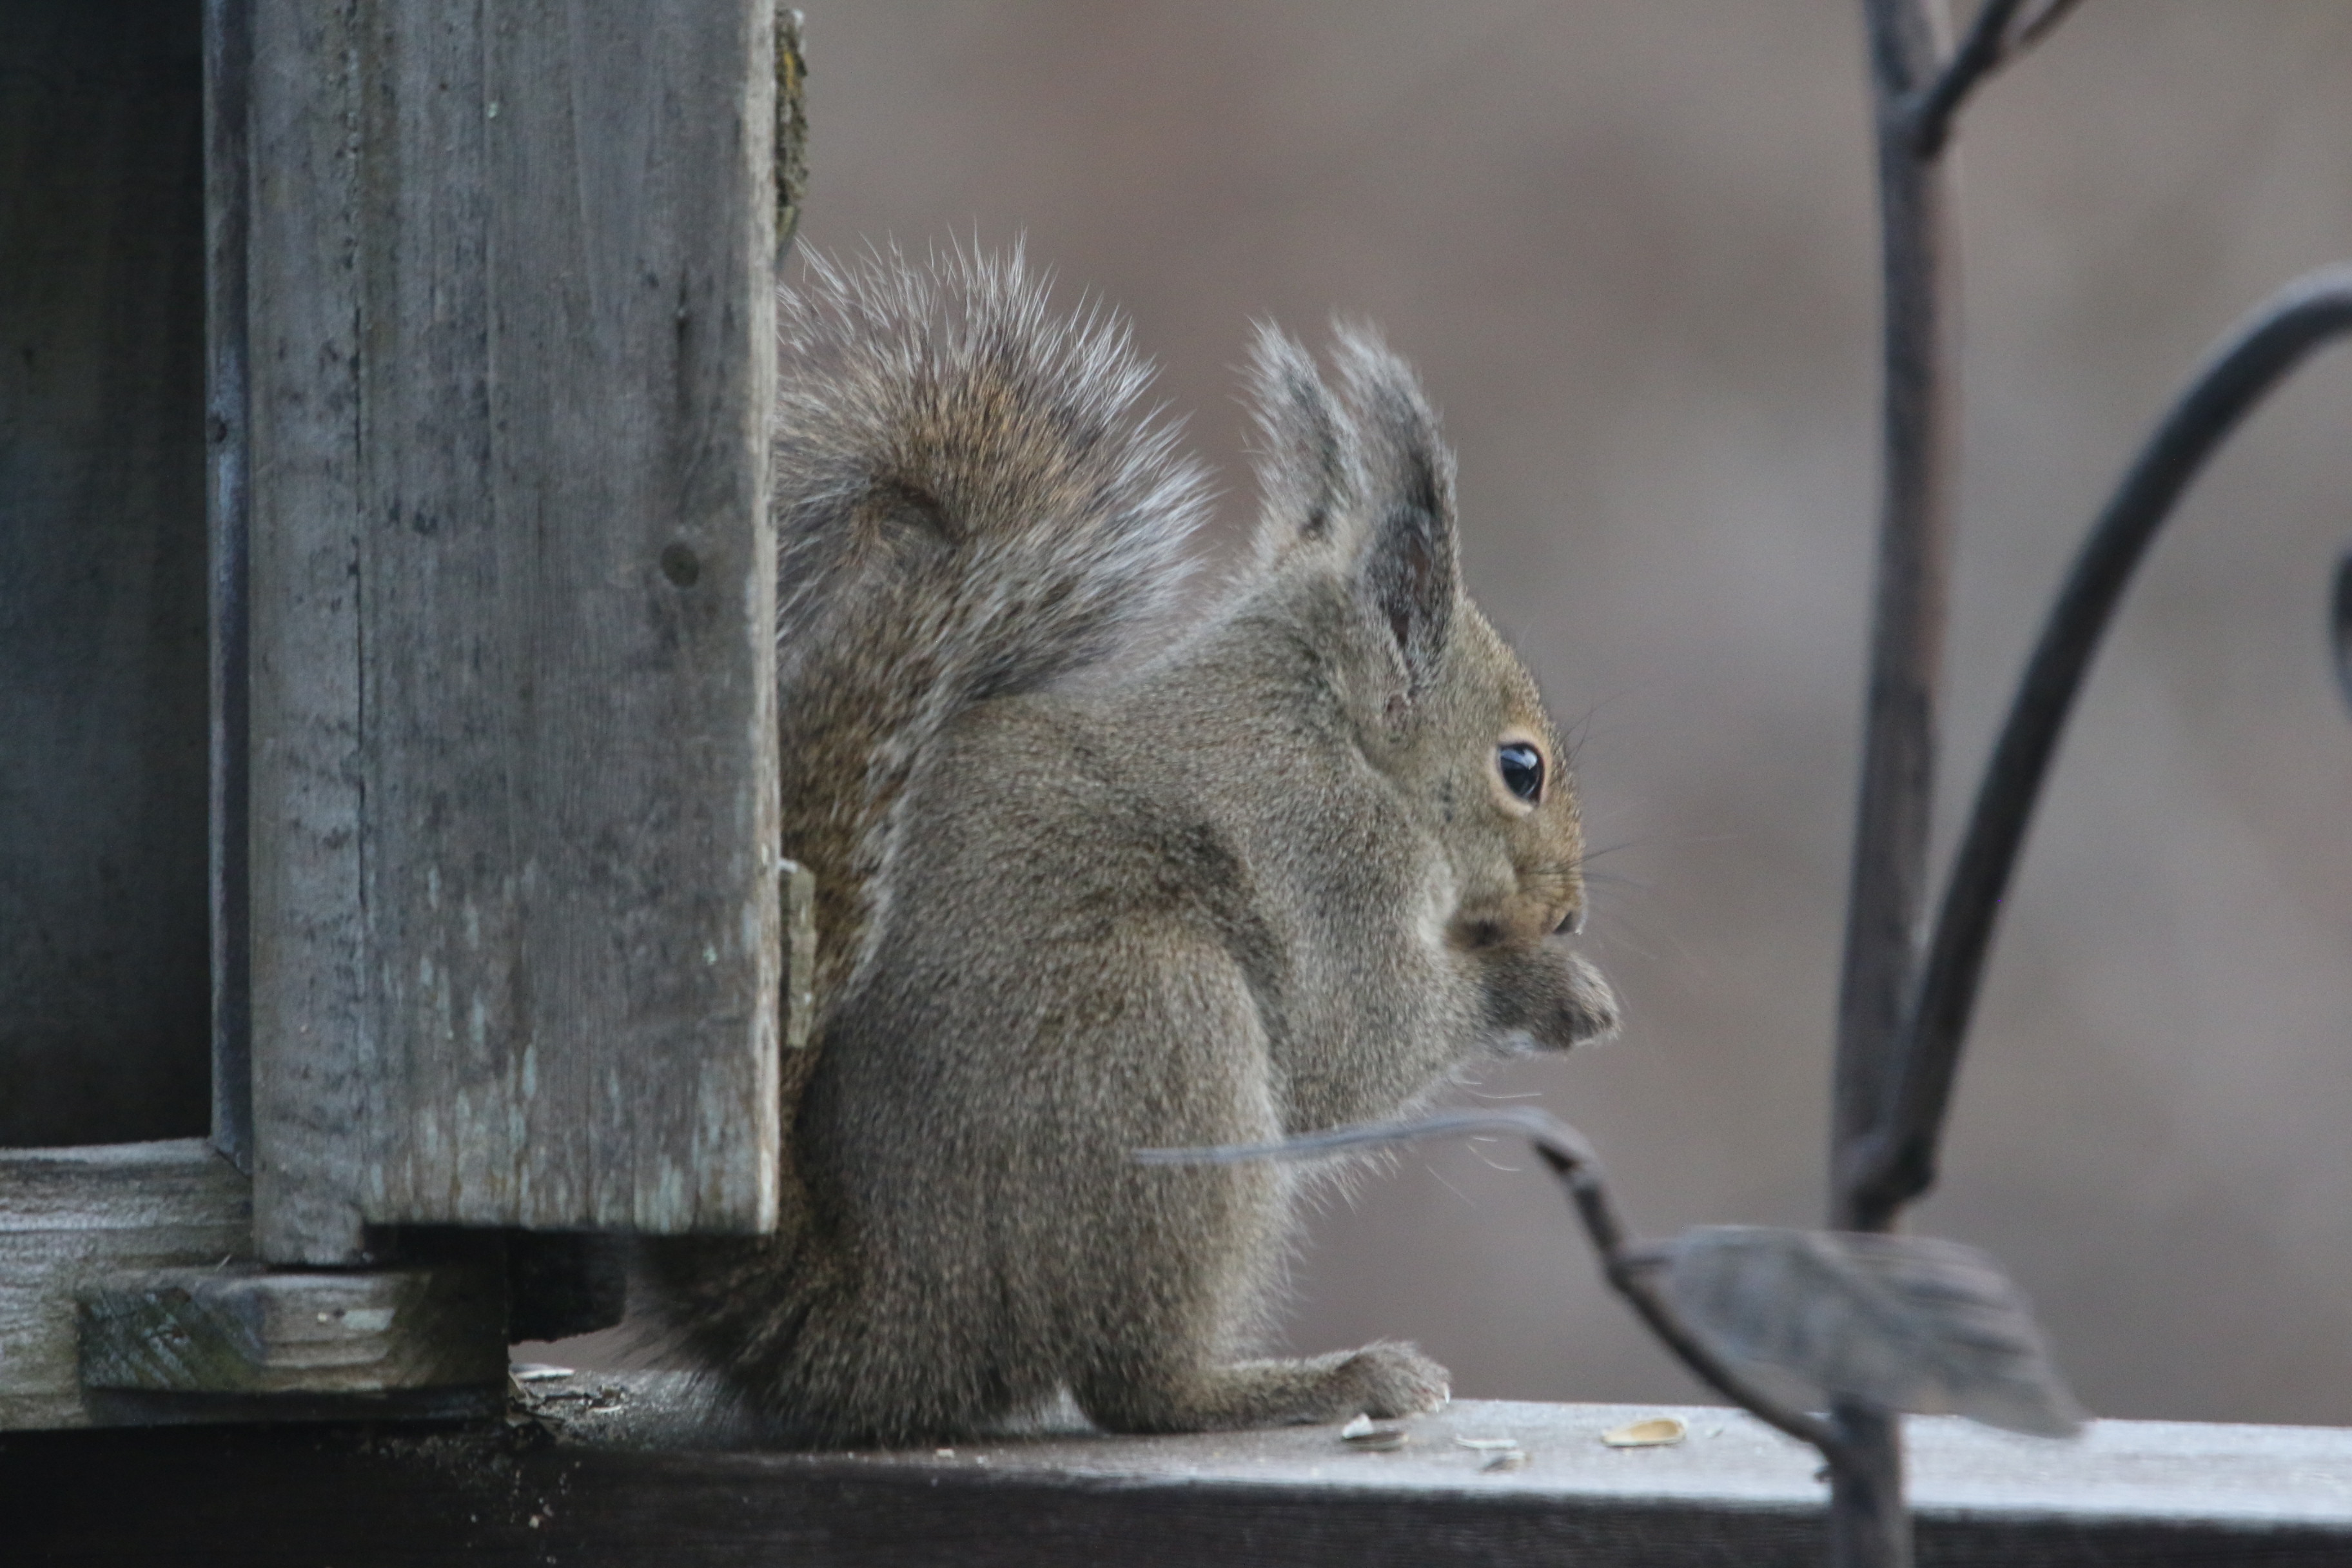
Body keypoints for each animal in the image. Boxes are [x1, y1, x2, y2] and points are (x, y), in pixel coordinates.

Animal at [644, 248, 1618, 1448]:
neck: (1331, 737)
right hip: (1162, 1038)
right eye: (1520, 767)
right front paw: (1549, 988)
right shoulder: (1326, 865)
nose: (1569, 909)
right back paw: (1330, 1379)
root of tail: (888, 1333)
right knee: (1139, 1390)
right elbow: (1349, 1046)